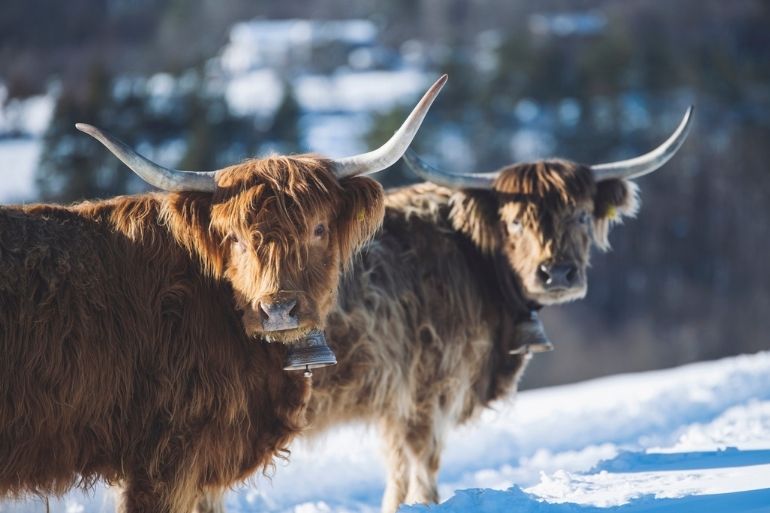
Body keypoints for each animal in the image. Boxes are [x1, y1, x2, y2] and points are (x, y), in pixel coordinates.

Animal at [194, 107, 693, 513]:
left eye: (583, 216)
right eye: (514, 221)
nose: (557, 273)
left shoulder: (395, 405)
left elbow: (398, 472)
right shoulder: (426, 389)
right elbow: (422, 467)